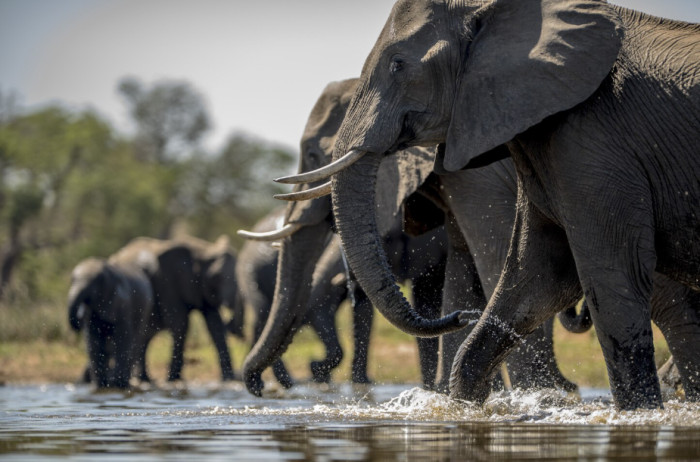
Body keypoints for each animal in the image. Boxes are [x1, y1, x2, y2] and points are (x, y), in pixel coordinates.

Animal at [68, 257, 153, 389]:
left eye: (93, 285)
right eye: (71, 280)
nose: (78, 319)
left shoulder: (123, 303)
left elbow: (123, 339)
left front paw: (118, 384)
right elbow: (93, 341)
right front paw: (100, 385)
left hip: (145, 310)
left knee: (135, 342)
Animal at [110, 235, 240, 382]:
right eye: (217, 276)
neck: (203, 250)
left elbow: (215, 325)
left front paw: (228, 379)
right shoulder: (168, 281)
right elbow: (180, 323)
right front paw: (173, 379)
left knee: (144, 337)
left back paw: (145, 379)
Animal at [240, 78, 580, 396]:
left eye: (313, 155)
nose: (259, 388)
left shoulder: (478, 178)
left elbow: (496, 262)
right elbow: (456, 274)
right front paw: (446, 396)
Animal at [283, 0, 700, 409]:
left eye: (398, 64)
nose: (462, 318)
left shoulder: (591, 143)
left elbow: (605, 274)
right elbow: (533, 275)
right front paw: (467, 404)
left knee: (667, 304)